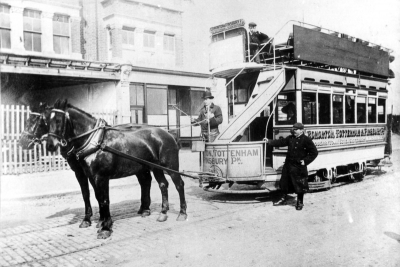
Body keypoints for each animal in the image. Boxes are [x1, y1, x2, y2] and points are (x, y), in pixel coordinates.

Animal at [45, 100, 188, 239]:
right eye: (47, 121)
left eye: (58, 120)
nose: (50, 145)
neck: (95, 141)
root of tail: (168, 134)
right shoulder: (91, 176)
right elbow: (97, 197)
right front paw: (102, 222)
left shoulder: (101, 177)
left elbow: (104, 200)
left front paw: (105, 228)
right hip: (155, 167)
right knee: (162, 184)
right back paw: (162, 213)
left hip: (170, 167)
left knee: (179, 185)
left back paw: (182, 213)